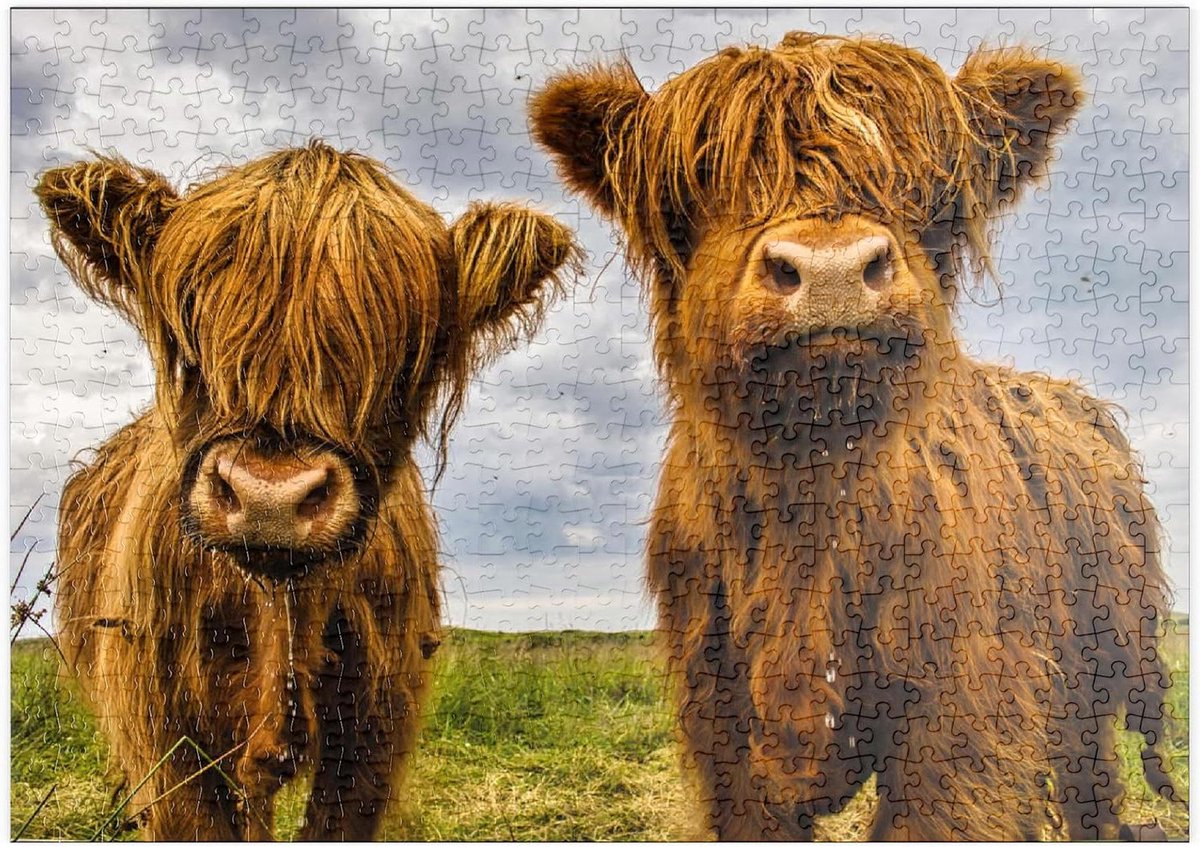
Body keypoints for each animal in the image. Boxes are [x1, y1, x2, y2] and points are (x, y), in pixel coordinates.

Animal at [531, 32, 1178, 840]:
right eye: (700, 179)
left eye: (927, 185)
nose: (832, 269)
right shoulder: (721, 730)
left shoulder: (963, 713)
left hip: (1098, 668)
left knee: (1094, 781)